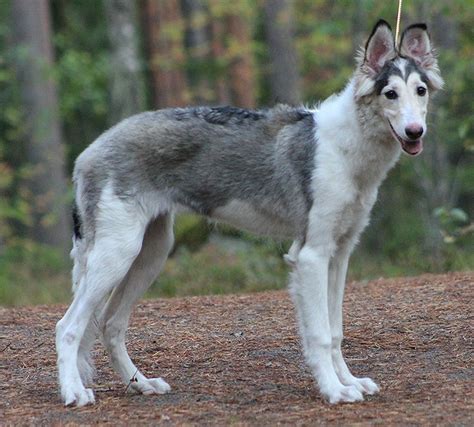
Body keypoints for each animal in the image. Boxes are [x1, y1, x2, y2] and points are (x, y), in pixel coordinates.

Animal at [55, 20, 444, 406]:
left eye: (420, 90)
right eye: (390, 94)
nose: (415, 132)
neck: (346, 148)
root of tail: (88, 153)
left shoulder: (340, 255)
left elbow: (335, 332)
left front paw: (350, 382)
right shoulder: (311, 255)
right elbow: (319, 335)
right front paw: (334, 390)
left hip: (150, 254)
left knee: (110, 325)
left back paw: (141, 383)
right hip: (116, 256)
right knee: (68, 327)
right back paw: (74, 392)